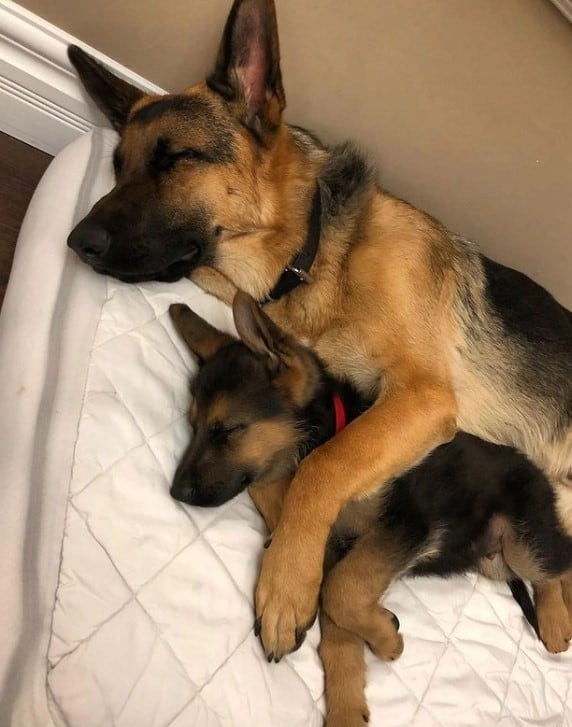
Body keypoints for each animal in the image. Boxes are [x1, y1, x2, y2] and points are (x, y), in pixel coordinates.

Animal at [68, 0, 572, 660]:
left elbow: (323, 465)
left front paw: (287, 582)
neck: (312, 258)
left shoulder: (421, 397)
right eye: (118, 167)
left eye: (176, 159)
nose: (77, 241)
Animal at [168, 294, 572, 727]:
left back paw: (555, 620)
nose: (175, 491)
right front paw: (348, 703)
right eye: (192, 426)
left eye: (227, 430)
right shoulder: (335, 555)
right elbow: (336, 631)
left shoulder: (408, 521)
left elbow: (342, 589)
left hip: (521, 541)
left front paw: (386, 639)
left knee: (552, 568)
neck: (325, 434)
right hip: (492, 560)